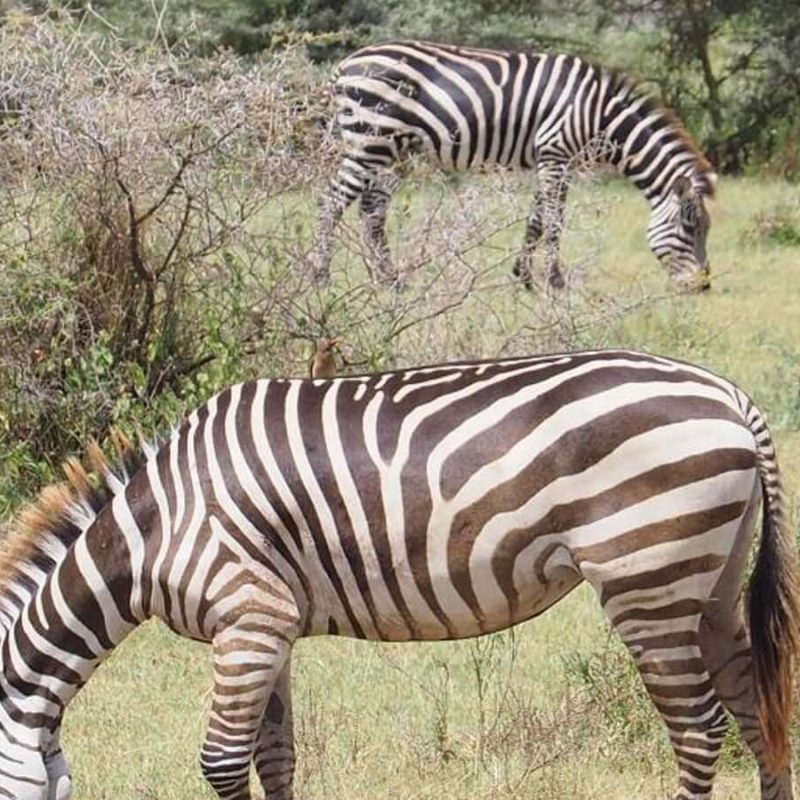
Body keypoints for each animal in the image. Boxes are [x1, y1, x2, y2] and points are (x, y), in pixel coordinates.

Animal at [0, 349, 797, 800]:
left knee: (698, 730)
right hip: (710, 583)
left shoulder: (248, 615)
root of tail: (732, 398)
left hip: (647, 577)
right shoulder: (272, 626)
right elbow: (276, 759)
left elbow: (222, 763)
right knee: (758, 711)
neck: (152, 531)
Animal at [311, 41, 716, 291]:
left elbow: (536, 220)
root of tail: (346, 64)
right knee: (331, 203)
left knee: (371, 209)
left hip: (394, 149)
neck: (600, 116)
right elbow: (554, 220)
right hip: (369, 141)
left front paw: (523, 278)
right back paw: (320, 277)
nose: (702, 287)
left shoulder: (552, 159)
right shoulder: (555, 154)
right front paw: (555, 282)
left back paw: (389, 280)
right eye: (689, 228)